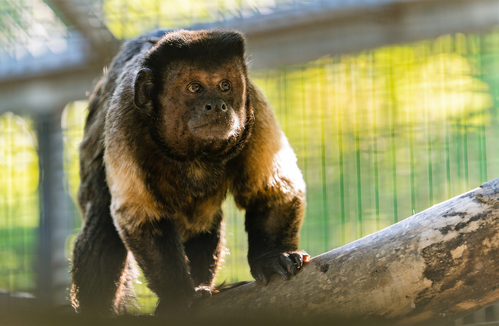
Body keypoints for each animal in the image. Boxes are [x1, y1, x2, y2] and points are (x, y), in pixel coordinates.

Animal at [71, 29, 310, 318]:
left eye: (225, 86)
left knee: (204, 222)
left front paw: (272, 257)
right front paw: (178, 295)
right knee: (103, 220)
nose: (217, 105)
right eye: (195, 87)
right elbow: (140, 215)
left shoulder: (255, 108)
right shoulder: (124, 117)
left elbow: (272, 191)